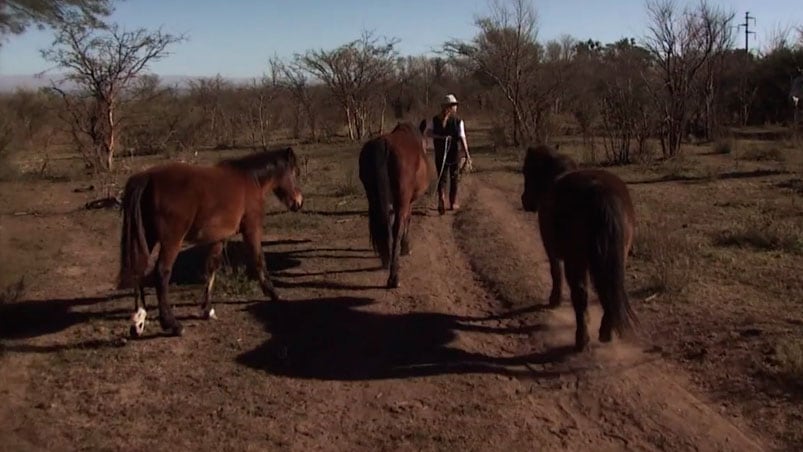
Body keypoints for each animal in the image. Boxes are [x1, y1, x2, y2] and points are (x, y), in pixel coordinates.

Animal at [114, 147, 302, 338]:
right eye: (294, 172)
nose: (298, 202)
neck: (249, 179)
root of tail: (146, 178)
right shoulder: (252, 229)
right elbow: (259, 259)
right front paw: (273, 293)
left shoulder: (219, 238)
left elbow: (212, 267)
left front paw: (207, 309)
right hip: (171, 241)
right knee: (161, 273)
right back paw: (172, 325)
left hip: (148, 237)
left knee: (139, 270)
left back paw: (138, 321)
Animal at [358, 122, 434, 288]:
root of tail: (384, 145)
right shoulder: (408, 203)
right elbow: (407, 222)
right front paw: (406, 247)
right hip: (401, 203)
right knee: (397, 227)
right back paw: (394, 277)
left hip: (373, 199)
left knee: (382, 223)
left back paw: (386, 259)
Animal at [520, 143, 640, 352]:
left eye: (526, 171)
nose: (524, 200)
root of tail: (602, 194)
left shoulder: (552, 251)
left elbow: (555, 274)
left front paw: (554, 300)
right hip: (616, 258)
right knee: (609, 291)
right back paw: (606, 332)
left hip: (576, 261)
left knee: (581, 294)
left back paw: (582, 339)